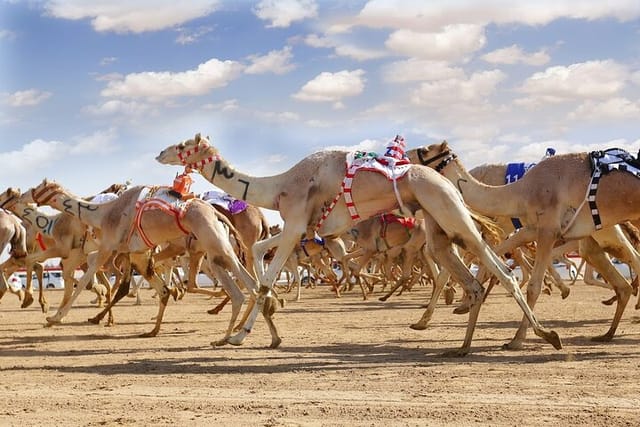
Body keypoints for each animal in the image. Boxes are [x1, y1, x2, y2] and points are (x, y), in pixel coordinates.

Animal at [26, 178, 280, 348]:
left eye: (36, 187)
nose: (27, 195)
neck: (103, 213)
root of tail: (217, 213)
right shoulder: (135, 252)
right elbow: (148, 284)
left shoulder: (108, 247)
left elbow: (85, 281)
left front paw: (54, 318)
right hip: (217, 250)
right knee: (248, 288)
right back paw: (259, 335)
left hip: (216, 246)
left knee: (246, 288)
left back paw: (233, 335)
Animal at [154, 132, 560, 356]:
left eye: (182, 144)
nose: (159, 152)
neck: (279, 185)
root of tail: (446, 180)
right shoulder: (302, 228)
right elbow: (257, 253)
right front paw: (266, 321)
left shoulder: (296, 221)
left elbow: (268, 277)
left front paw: (240, 336)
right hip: (436, 223)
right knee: (471, 279)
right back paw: (460, 347)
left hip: (448, 209)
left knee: (499, 267)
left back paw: (544, 335)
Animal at [410, 142, 640, 350]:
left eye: (424, 150)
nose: (406, 154)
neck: (521, 190)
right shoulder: (530, 229)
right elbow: (491, 260)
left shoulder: (547, 229)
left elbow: (533, 286)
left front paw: (518, 340)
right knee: (622, 272)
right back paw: (608, 332)